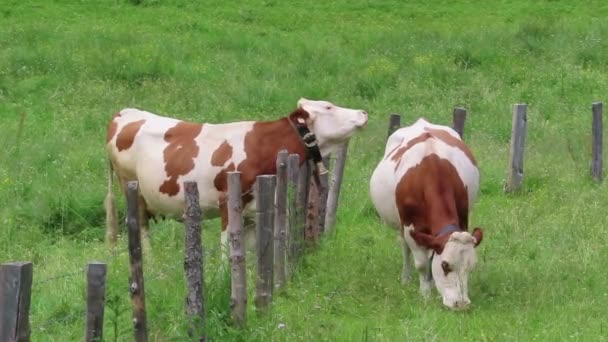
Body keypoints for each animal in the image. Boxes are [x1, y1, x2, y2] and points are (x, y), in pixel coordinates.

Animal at [104, 99, 368, 254]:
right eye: (329, 107)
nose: (363, 112)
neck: (262, 146)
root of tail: (125, 112)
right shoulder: (228, 202)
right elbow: (228, 248)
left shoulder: (255, 209)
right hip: (132, 189)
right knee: (141, 229)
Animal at [370, 117, 484, 310]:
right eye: (445, 265)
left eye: (471, 267)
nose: (461, 304)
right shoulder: (410, 228)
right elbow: (422, 264)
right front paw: (425, 294)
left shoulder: (462, 218)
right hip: (400, 226)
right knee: (404, 248)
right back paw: (406, 278)